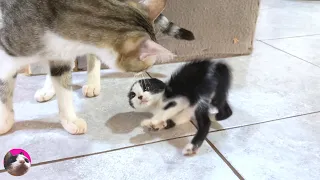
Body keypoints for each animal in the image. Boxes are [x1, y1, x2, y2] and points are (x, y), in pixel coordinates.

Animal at [0, 0, 175, 134]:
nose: (144, 72)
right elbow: (4, 91)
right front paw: (5, 121)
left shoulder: (62, 56)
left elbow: (64, 90)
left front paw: (70, 121)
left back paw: (92, 84)